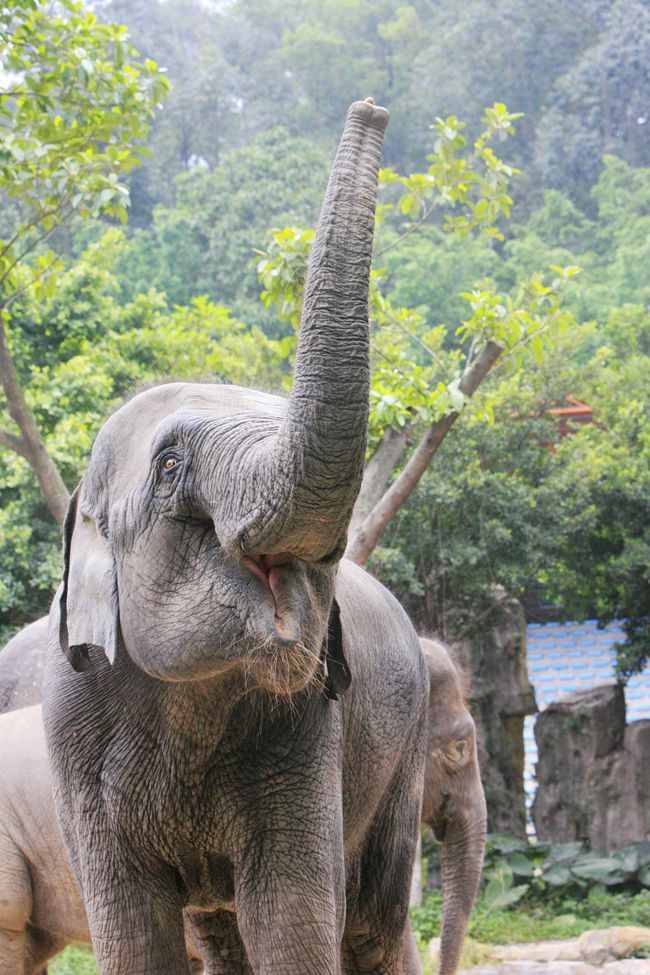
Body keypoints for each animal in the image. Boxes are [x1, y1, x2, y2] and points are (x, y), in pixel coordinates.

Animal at [39, 101, 426, 975]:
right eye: (170, 466)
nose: (373, 108)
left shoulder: (308, 732)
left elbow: (291, 918)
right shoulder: (72, 748)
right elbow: (135, 933)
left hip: (406, 756)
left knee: (373, 922)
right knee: (221, 931)